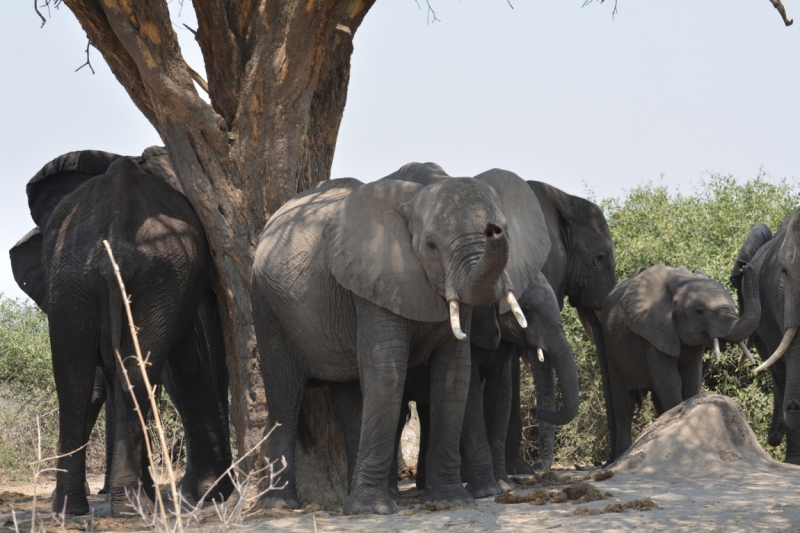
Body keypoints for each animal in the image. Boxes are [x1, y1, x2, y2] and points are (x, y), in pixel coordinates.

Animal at [10, 147, 234, 516]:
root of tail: (115, 236)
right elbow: (189, 359)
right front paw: (208, 494)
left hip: (80, 277)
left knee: (79, 378)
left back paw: (86, 506)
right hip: (118, 275)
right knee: (113, 375)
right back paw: (127, 504)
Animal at [250, 168, 552, 512]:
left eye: (507, 230)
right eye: (431, 245)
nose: (494, 230)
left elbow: (454, 375)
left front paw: (449, 500)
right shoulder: (375, 280)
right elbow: (387, 370)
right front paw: (372, 510)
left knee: (350, 397)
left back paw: (353, 496)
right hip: (267, 306)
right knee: (284, 396)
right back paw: (280, 505)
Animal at [600, 262, 764, 462]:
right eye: (699, 311)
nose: (744, 266)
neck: (682, 282)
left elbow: (691, 379)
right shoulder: (655, 328)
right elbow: (669, 381)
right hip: (611, 344)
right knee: (623, 401)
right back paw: (620, 456)